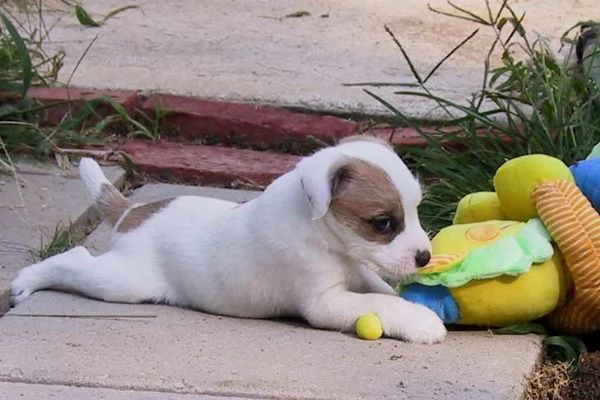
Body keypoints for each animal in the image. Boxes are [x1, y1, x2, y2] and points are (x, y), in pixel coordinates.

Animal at [11, 137, 448, 344]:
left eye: (416, 209)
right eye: (384, 224)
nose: (425, 257)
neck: (320, 233)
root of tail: (132, 211)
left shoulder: (356, 273)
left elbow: (380, 290)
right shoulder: (324, 302)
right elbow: (379, 302)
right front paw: (419, 319)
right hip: (124, 282)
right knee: (75, 258)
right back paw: (25, 282)